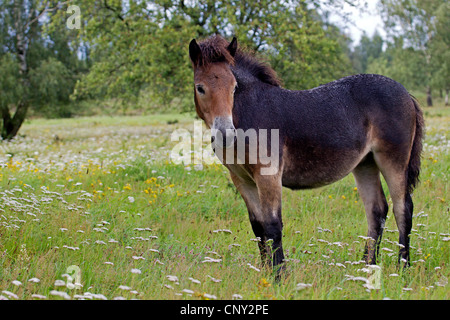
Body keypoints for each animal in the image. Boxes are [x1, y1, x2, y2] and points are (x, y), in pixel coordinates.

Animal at [188, 35, 424, 274]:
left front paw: (279, 275)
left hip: (393, 161)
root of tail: (406, 94)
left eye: (234, 87)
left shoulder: (268, 175)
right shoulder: (242, 179)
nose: (225, 134)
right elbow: (258, 227)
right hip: (365, 164)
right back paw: (367, 266)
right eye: (200, 88)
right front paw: (265, 273)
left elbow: (273, 225)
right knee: (377, 210)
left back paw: (403, 267)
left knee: (403, 208)